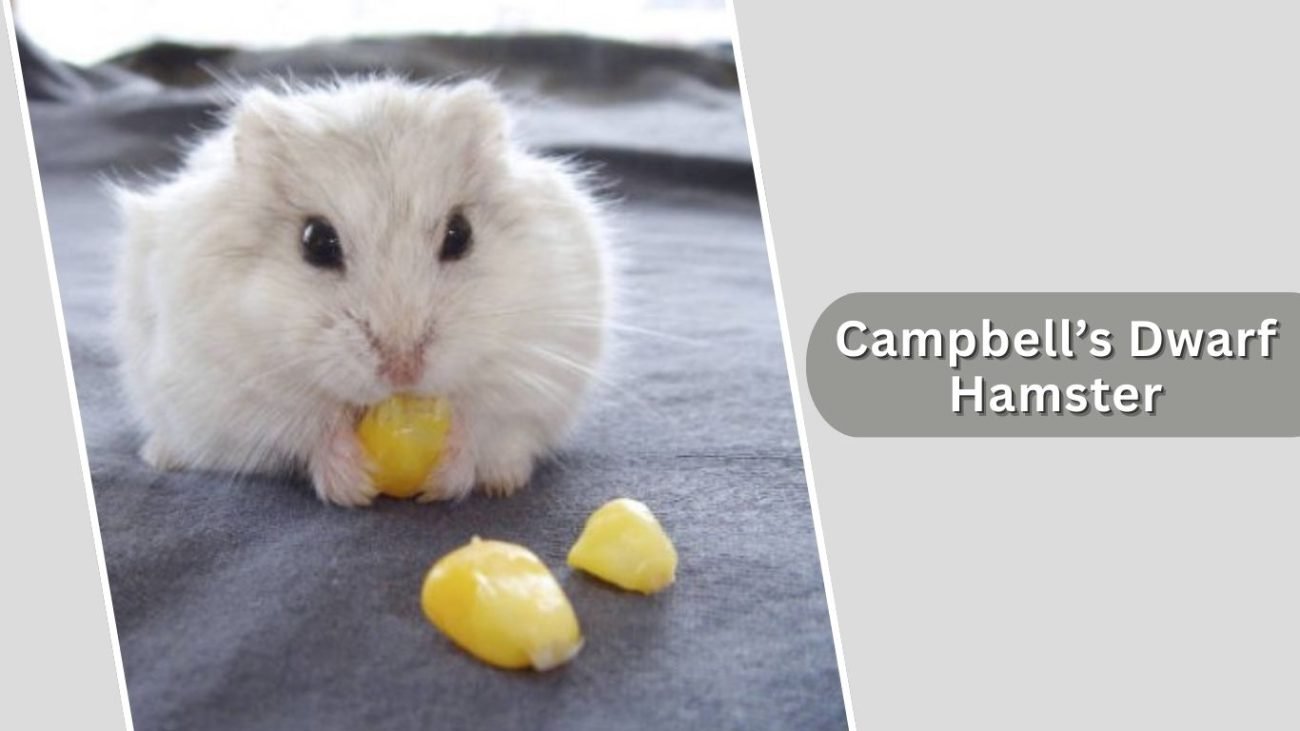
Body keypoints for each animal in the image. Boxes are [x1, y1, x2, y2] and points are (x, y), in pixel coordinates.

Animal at [111, 77, 612, 507]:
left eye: (460, 234)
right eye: (315, 241)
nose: (403, 368)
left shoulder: (539, 362)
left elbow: (484, 418)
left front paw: (445, 478)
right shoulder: (230, 389)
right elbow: (303, 426)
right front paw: (354, 482)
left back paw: (503, 481)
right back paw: (161, 455)